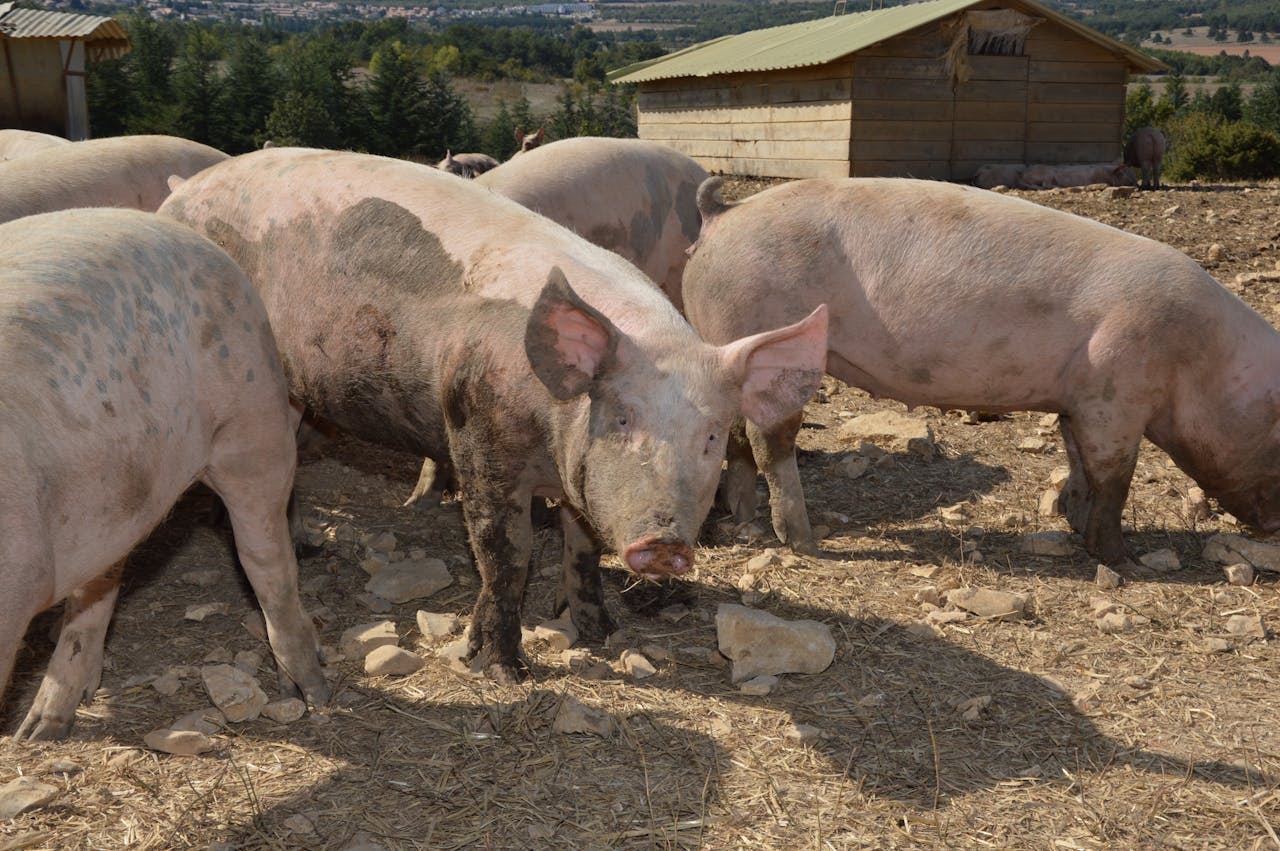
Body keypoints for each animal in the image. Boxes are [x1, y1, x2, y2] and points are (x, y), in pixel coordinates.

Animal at [0, 207, 328, 739]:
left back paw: (311, 692)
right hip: (115, 481)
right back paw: (42, 729)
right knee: (102, 578)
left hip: (251, 414)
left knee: (267, 560)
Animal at [158, 148, 827, 684]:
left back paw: (311, 546)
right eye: (621, 419)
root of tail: (178, 194)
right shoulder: (479, 435)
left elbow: (582, 549)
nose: (663, 542)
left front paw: (601, 632)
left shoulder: (576, 478)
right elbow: (505, 555)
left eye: (711, 436)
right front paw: (504, 670)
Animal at [683, 177, 1280, 569]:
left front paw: (1071, 520)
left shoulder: (1078, 399)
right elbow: (1115, 476)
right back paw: (805, 541)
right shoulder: (1115, 394)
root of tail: (721, 216)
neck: (1201, 357)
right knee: (771, 441)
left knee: (736, 435)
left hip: (727, 341)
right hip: (776, 339)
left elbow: (1079, 461)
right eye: (1277, 435)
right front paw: (1121, 560)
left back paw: (746, 522)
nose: (1275, 527)